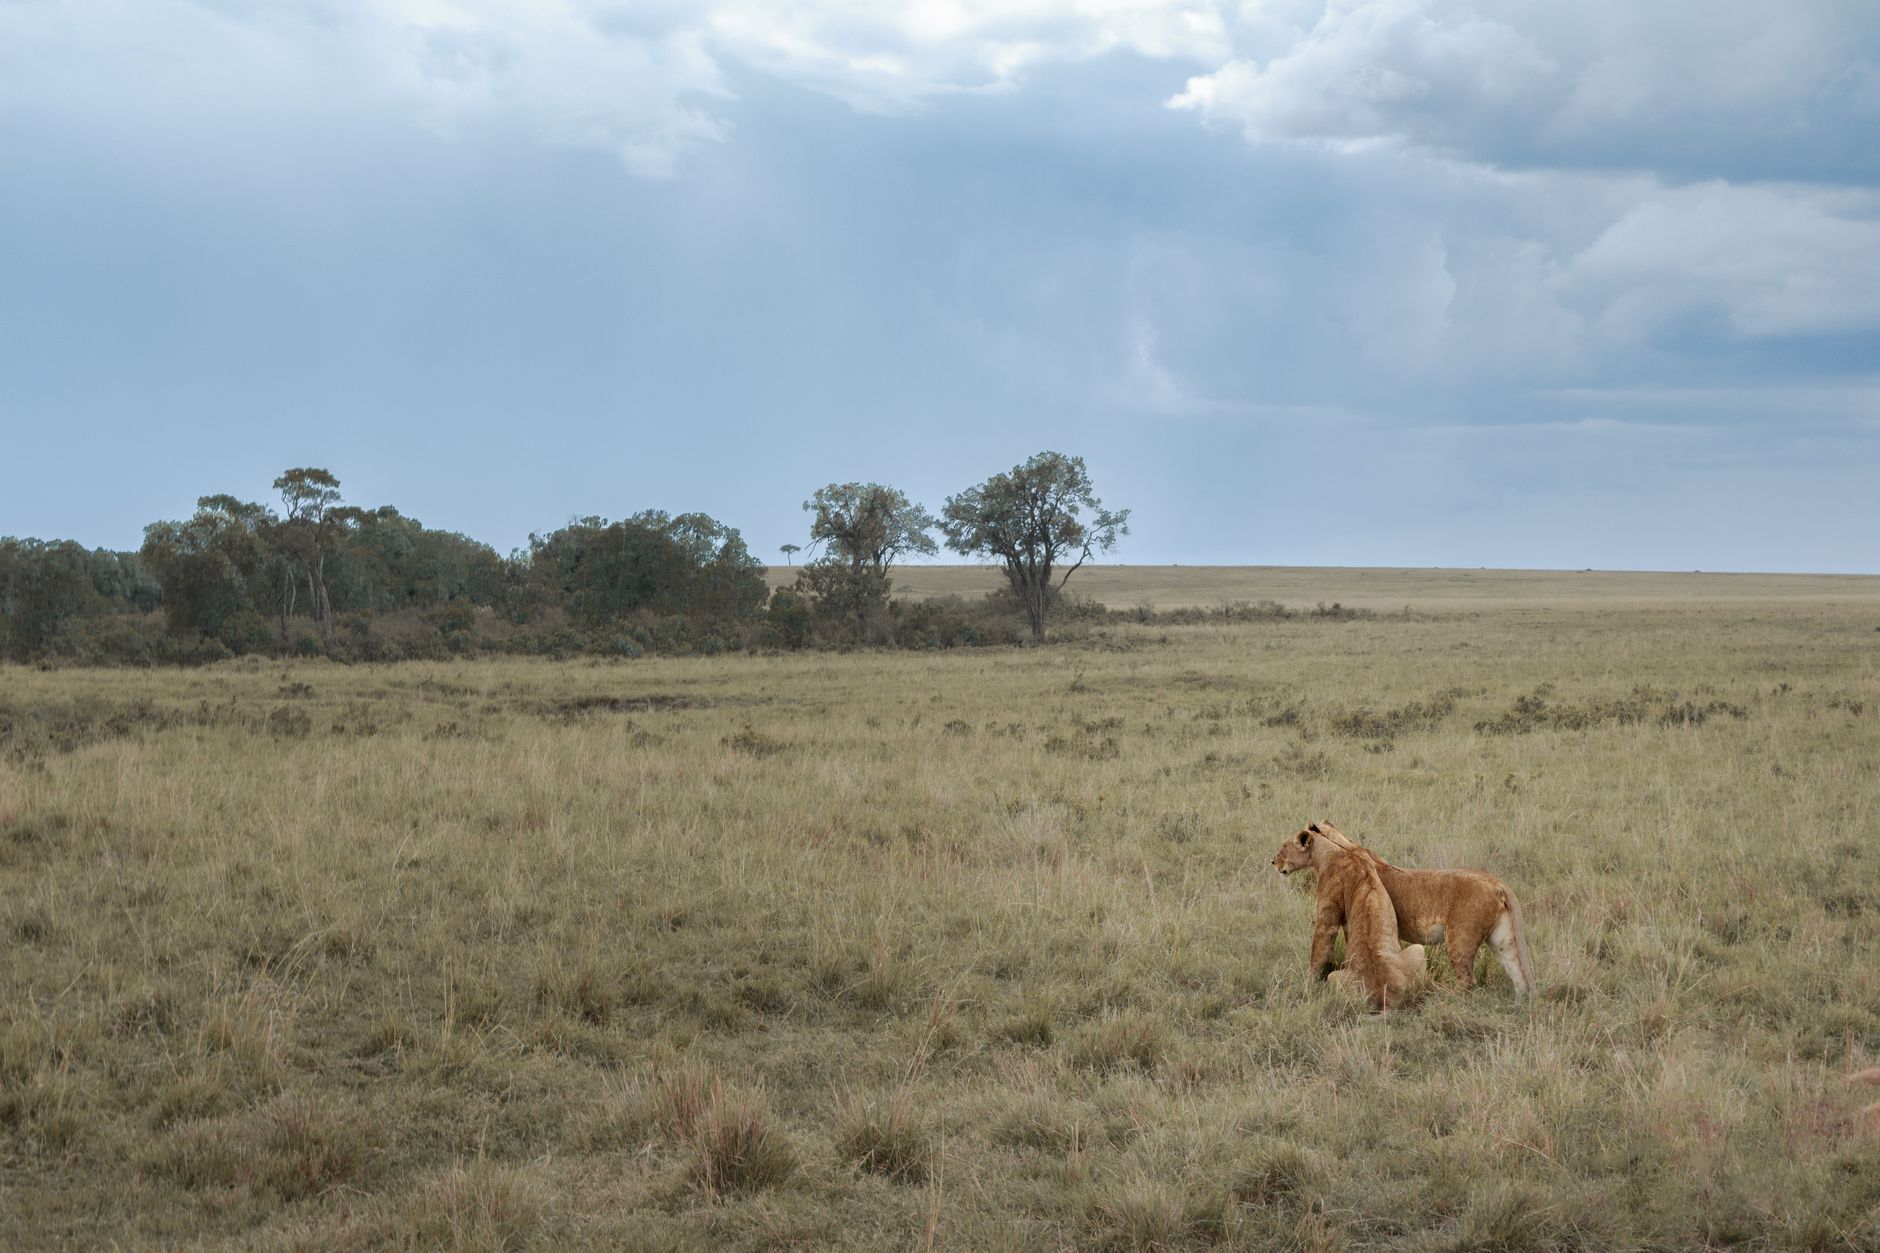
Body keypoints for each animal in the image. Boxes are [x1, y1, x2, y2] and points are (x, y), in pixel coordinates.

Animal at [1272, 825, 1427, 1011]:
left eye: (1283, 847)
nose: (1272, 862)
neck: (1333, 852)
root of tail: (1382, 996)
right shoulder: (1364, 854)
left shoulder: (1328, 918)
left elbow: (1318, 953)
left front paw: (1307, 985)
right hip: (1419, 949)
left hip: (1334, 977)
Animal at [1305, 821, 1534, 996]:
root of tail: (1497, 882)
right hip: (1502, 940)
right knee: (1517, 973)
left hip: (1460, 937)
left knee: (1467, 980)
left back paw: (1444, 998)